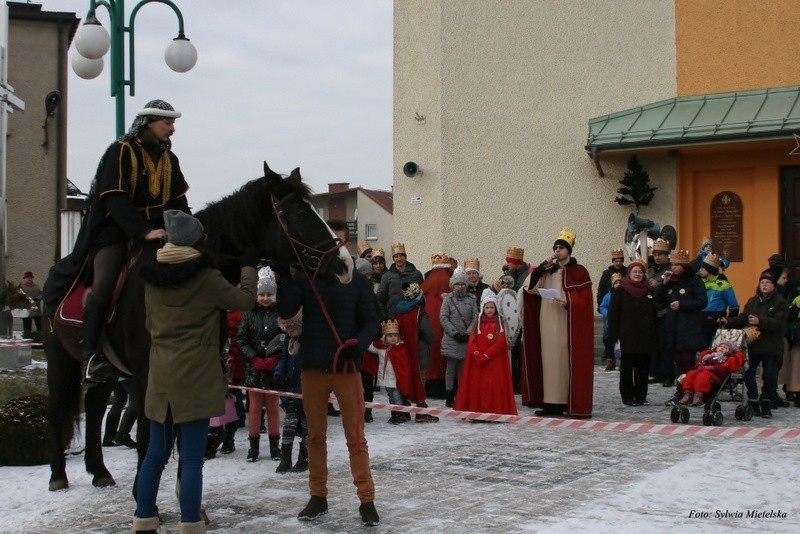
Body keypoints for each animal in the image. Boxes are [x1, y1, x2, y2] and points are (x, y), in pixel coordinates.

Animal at [43, 163, 354, 494]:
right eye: (299, 213)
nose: (345, 265)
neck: (178, 271)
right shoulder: (145, 376)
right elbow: (148, 439)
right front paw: (144, 493)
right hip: (60, 358)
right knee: (57, 410)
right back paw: (58, 475)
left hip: (107, 370)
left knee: (94, 406)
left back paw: (99, 470)